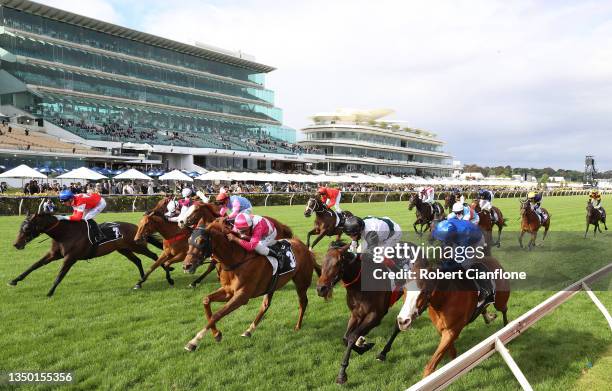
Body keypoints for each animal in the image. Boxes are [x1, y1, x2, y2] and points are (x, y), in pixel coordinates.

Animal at [11, 214, 163, 298]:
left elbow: (60, 275)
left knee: (155, 256)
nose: (16, 244)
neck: (65, 234)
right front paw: (14, 280)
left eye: (27, 228)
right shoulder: (53, 254)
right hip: (123, 249)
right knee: (137, 260)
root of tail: (137, 228)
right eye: (20, 226)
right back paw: (141, 280)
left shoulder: (70, 258)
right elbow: (34, 265)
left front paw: (49, 292)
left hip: (137, 247)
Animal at [183, 219, 318, 350]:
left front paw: (194, 341)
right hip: (272, 285)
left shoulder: (242, 296)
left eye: (201, 241)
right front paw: (216, 334)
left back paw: (297, 326)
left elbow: (218, 314)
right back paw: (249, 330)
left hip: (301, 282)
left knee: (303, 302)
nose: (186, 265)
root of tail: (304, 247)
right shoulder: (228, 292)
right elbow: (206, 300)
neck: (236, 260)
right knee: (265, 305)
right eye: (188, 240)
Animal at [316, 242, 406, 386]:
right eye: (323, 262)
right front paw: (364, 345)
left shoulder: (376, 316)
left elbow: (352, 337)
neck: (359, 286)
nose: (321, 289)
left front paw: (342, 375)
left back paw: (383, 353)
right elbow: (345, 338)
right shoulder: (355, 314)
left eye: (337, 263)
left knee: (399, 324)